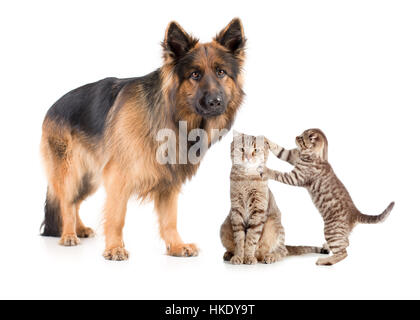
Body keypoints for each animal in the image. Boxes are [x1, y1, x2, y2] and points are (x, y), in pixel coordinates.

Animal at [39, 18, 246, 260]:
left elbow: (169, 219)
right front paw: (115, 248)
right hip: (71, 172)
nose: (215, 102)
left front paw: (176, 246)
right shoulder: (117, 176)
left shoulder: (169, 179)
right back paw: (68, 234)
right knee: (66, 202)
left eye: (221, 72)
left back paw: (79, 229)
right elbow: (116, 217)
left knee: (74, 202)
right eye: (195, 75)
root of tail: (52, 107)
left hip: (89, 178)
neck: (172, 116)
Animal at [220, 131, 328, 264]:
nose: (248, 157)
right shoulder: (236, 209)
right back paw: (229, 254)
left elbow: (251, 238)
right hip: (224, 226)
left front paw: (249, 257)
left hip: (275, 225)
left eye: (255, 150)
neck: (247, 178)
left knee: (282, 251)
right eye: (242, 149)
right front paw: (239, 256)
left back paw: (270, 256)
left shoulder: (258, 210)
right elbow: (239, 239)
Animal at [262, 129, 394, 266]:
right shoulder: (292, 155)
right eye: (301, 134)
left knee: (343, 253)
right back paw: (326, 247)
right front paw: (266, 140)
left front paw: (266, 170)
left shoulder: (295, 177)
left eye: (302, 139)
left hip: (331, 231)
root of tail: (355, 213)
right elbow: (280, 150)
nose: (296, 136)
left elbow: (278, 174)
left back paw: (325, 260)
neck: (313, 156)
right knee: (346, 243)